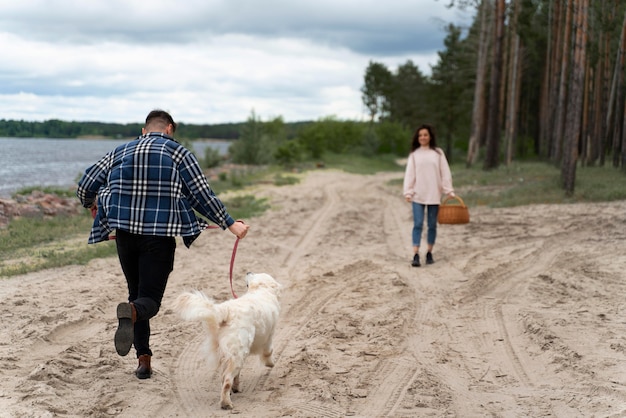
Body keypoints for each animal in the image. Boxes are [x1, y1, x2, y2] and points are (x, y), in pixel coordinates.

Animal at [173, 272, 280, 410]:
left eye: (254, 275)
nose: (248, 272)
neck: (262, 291)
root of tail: (227, 311)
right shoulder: (269, 335)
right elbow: (268, 352)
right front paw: (270, 363)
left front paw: (237, 386)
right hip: (238, 353)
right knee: (227, 379)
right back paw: (226, 403)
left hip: (233, 353)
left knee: (225, 377)